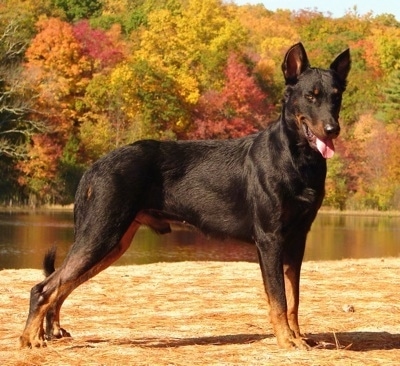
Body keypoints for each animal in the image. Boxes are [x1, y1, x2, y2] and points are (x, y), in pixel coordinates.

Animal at [19, 43, 350, 348]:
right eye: (311, 96)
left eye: (336, 96)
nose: (332, 129)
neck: (297, 158)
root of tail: (94, 166)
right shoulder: (270, 239)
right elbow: (278, 298)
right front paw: (285, 340)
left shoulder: (297, 239)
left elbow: (294, 299)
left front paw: (299, 337)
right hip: (101, 235)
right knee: (44, 288)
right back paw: (30, 339)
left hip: (112, 242)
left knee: (59, 286)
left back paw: (49, 332)